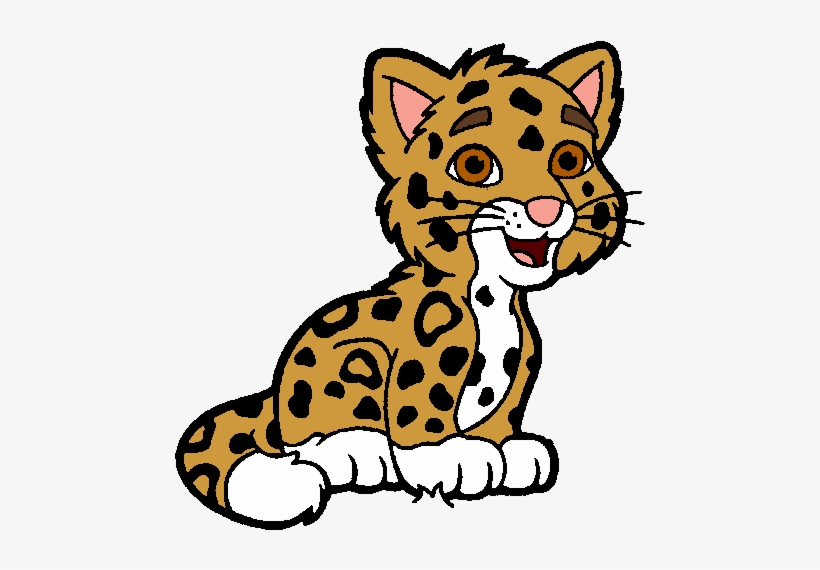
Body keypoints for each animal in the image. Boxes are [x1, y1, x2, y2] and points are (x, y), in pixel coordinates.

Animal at [176, 42, 633, 530]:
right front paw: (454, 458)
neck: (492, 297)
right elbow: (423, 404)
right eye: (475, 165)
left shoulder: (524, 361)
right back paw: (360, 449)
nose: (545, 210)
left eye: (570, 160)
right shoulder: (425, 356)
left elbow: (505, 408)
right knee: (307, 442)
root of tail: (274, 396)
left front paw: (509, 450)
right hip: (346, 366)